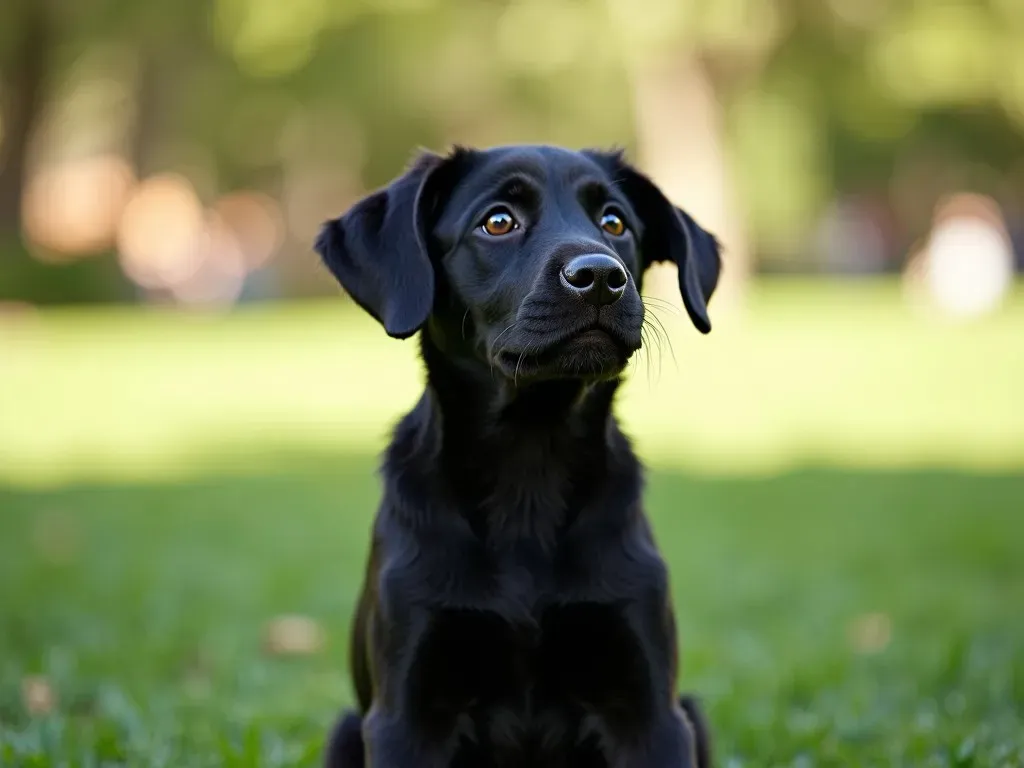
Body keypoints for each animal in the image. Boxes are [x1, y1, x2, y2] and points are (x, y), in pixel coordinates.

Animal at [315, 145, 724, 768]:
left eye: (614, 222)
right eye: (498, 221)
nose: (600, 277)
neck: (531, 459)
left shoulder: (651, 713)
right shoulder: (405, 714)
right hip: (346, 729)